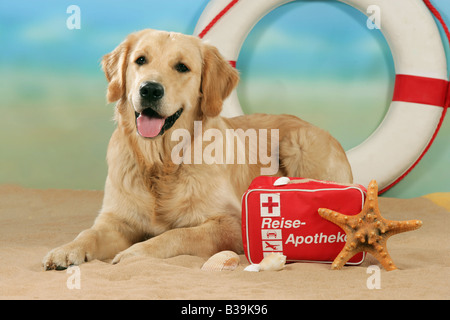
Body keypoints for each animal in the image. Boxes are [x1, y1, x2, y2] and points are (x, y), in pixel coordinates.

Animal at [42, 29, 352, 270]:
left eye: (182, 67)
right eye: (140, 60)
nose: (149, 89)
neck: (162, 162)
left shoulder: (231, 223)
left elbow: (177, 235)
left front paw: (135, 252)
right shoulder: (116, 220)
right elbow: (89, 233)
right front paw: (65, 250)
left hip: (301, 144)